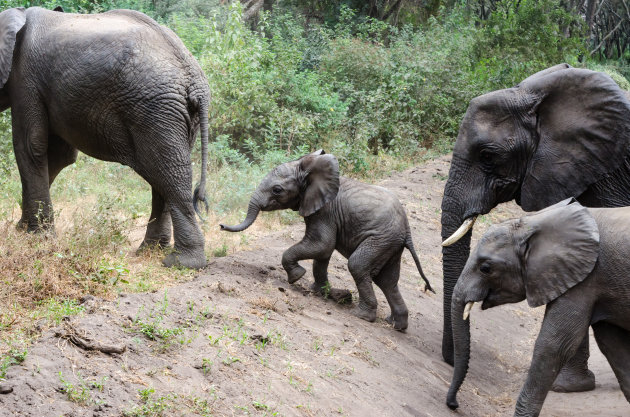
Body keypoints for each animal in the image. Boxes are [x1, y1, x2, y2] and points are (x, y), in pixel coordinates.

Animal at [0, 7, 211, 270]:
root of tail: (195, 79)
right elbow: (59, 156)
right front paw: (23, 229)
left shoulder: (25, 77)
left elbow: (31, 145)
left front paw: (36, 238)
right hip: (174, 114)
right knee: (164, 172)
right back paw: (150, 251)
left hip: (154, 108)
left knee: (168, 172)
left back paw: (182, 262)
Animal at [221, 149, 434, 328]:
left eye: (277, 190)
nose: (221, 225)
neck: (310, 172)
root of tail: (407, 229)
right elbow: (322, 254)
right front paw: (319, 291)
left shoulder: (325, 211)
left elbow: (322, 245)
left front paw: (296, 277)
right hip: (390, 244)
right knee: (387, 281)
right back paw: (396, 325)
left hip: (380, 239)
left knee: (358, 266)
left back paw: (361, 316)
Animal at [446, 197, 630, 416]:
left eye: (486, 268)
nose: (454, 405)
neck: (535, 222)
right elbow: (613, 345)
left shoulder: (586, 278)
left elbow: (553, 345)